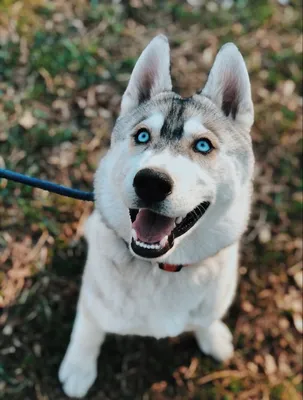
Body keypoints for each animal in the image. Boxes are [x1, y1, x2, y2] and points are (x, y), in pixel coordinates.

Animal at [58, 36, 254, 398]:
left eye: (203, 145)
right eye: (143, 136)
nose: (151, 182)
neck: (162, 267)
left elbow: (206, 318)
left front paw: (212, 335)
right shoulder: (93, 297)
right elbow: (88, 326)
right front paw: (79, 366)